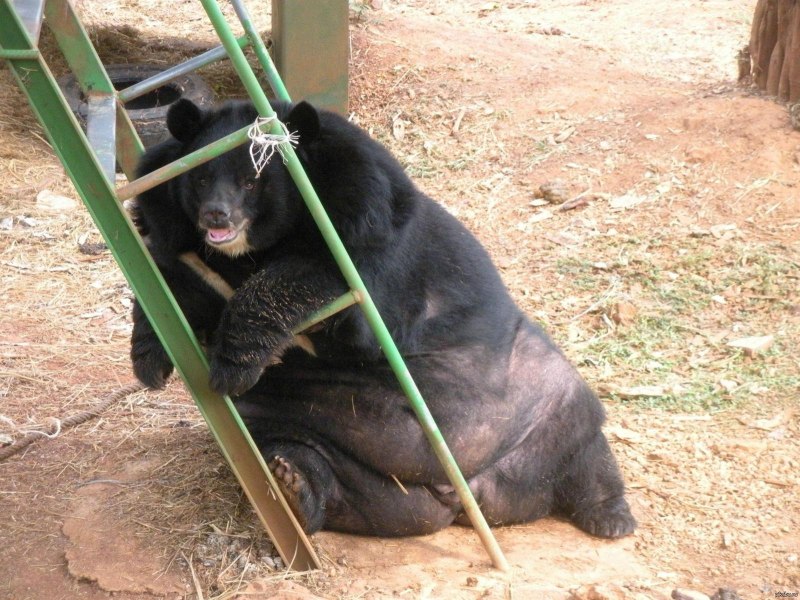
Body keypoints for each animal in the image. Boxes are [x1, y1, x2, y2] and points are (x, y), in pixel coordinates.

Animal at [131, 97, 637, 539]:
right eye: (198, 180)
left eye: (253, 180)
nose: (217, 216)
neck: (251, 250)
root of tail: (467, 496)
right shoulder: (188, 246)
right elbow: (173, 284)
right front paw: (150, 362)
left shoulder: (367, 224)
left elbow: (328, 286)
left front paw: (233, 365)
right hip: (321, 440)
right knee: (307, 462)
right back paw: (294, 488)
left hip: (546, 392)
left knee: (587, 449)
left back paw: (612, 519)